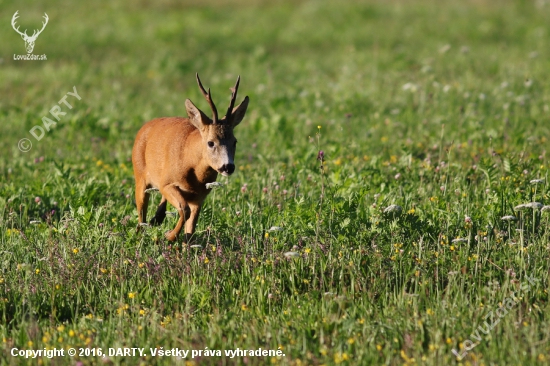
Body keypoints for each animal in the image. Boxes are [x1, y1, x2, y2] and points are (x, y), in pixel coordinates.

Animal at [133, 73, 249, 243]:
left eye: (235, 141)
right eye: (210, 142)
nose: (228, 166)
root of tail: (144, 127)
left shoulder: (199, 197)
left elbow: (191, 228)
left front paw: (182, 242)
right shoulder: (167, 183)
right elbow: (184, 209)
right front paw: (170, 235)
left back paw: (157, 219)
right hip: (140, 175)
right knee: (141, 212)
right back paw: (142, 232)